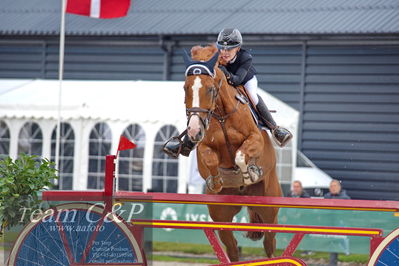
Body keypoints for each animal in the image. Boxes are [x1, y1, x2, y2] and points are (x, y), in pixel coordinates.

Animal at [183, 44, 282, 260]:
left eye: (210, 89)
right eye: (185, 88)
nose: (193, 130)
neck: (221, 115)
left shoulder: (255, 139)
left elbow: (241, 155)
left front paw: (248, 174)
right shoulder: (203, 147)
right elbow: (210, 159)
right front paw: (217, 181)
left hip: (269, 208)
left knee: (270, 242)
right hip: (221, 215)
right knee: (231, 247)